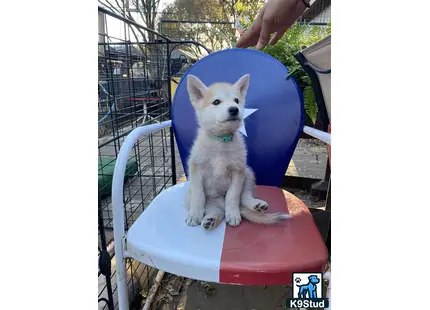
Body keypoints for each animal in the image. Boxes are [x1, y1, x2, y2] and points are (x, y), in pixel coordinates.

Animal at [185, 74, 288, 230]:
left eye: (236, 101)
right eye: (216, 102)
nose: (234, 109)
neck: (221, 141)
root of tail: (219, 203)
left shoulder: (237, 171)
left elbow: (233, 196)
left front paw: (233, 214)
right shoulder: (196, 169)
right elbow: (198, 195)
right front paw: (195, 215)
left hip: (248, 173)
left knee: (243, 198)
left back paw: (256, 205)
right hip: (203, 199)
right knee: (217, 211)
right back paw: (210, 219)